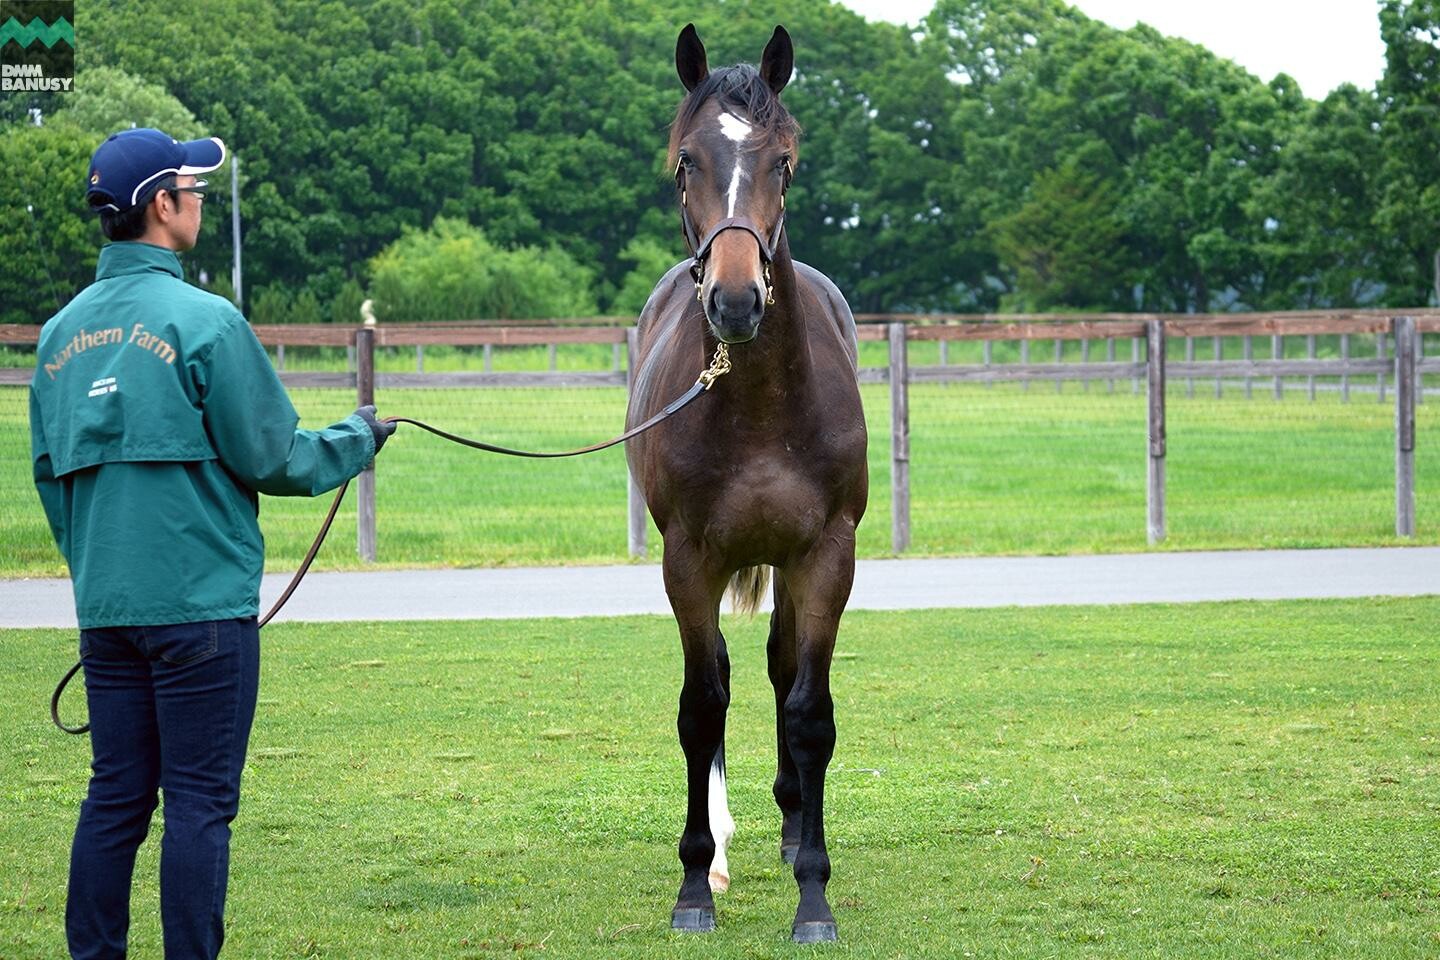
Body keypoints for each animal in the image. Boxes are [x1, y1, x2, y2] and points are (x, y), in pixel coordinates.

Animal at [622, 22, 864, 944]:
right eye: (685, 162)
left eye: (784, 162)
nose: (733, 301)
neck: (760, 404)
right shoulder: (688, 560)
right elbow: (701, 707)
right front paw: (694, 884)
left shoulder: (827, 557)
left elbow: (808, 711)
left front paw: (814, 893)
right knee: (723, 680)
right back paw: (721, 850)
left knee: (777, 669)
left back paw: (794, 824)